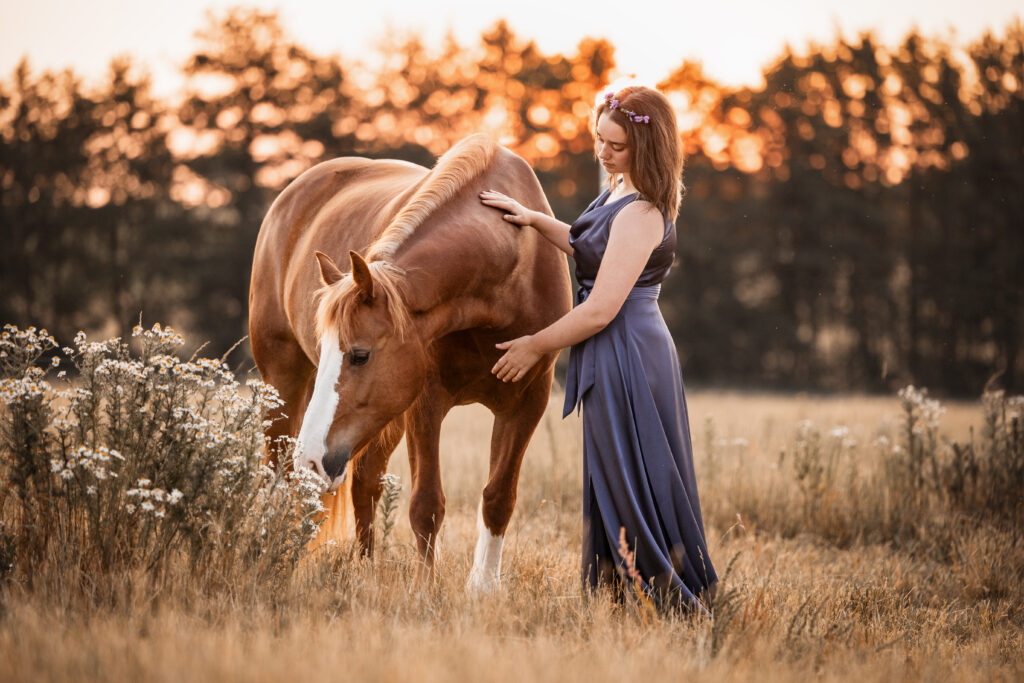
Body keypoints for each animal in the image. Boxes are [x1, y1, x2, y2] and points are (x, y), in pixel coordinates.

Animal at [244, 136, 573, 589]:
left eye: (360, 354)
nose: (312, 458)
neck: (510, 270)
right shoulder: (425, 403)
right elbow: (427, 505)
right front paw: (425, 590)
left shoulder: (527, 401)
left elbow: (498, 497)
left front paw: (483, 588)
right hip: (284, 384)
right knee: (278, 477)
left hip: (382, 418)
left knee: (364, 483)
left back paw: (365, 570)